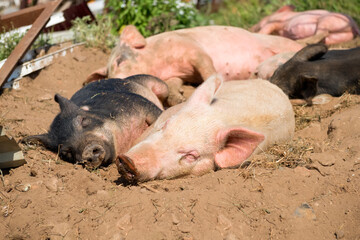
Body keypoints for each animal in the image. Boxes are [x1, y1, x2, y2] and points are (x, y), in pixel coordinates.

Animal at [22, 75, 169, 169]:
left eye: (83, 120)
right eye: (66, 152)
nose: (87, 152)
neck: (123, 143)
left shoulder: (139, 104)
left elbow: (159, 115)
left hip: (158, 85)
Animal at [83, 24, 300, 106]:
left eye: (120, 61)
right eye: (108, 74)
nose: (112, 83)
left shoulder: (193, 49)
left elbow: (207, 68)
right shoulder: (176, 75)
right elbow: (171, 86)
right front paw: (180, 98)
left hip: (279, 43)